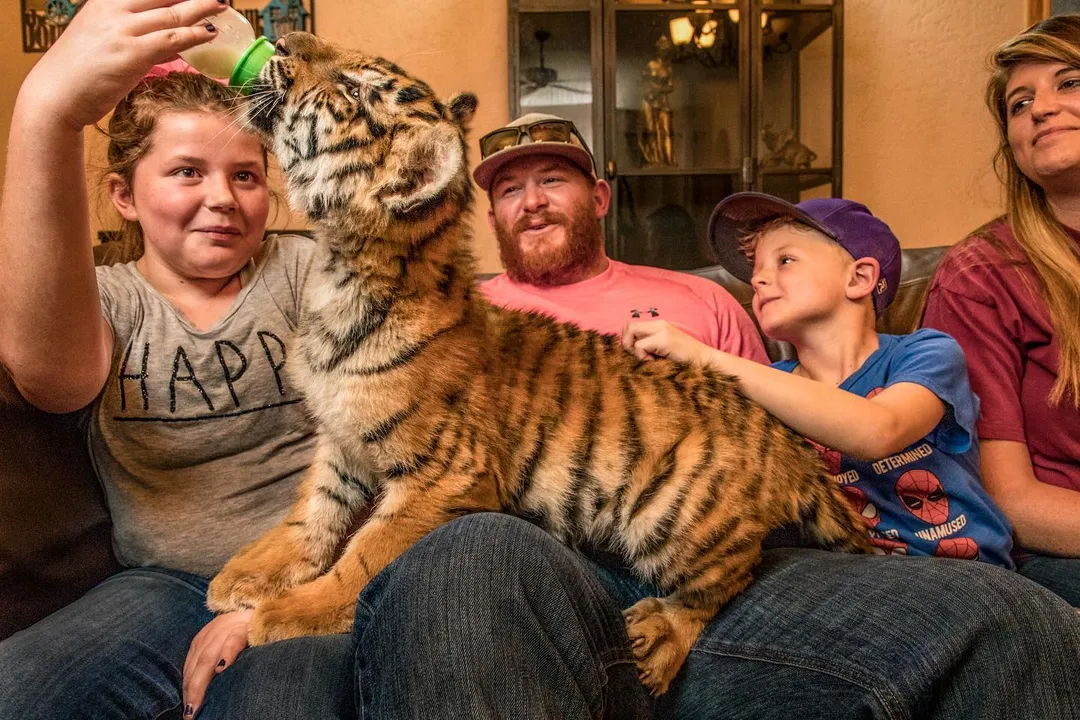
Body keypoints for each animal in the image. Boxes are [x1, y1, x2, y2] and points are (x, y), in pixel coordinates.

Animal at [206, 31, 872, 695]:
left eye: (352, 89)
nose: (284, 37)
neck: (342, 271)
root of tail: (785, 443)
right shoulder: (340, 442)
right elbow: (311, 514)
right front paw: (245, 575)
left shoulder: (445, 474)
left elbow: (367, 554)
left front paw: (290, 612)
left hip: (672, 515)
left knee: (726, 581)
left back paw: (658, 638)